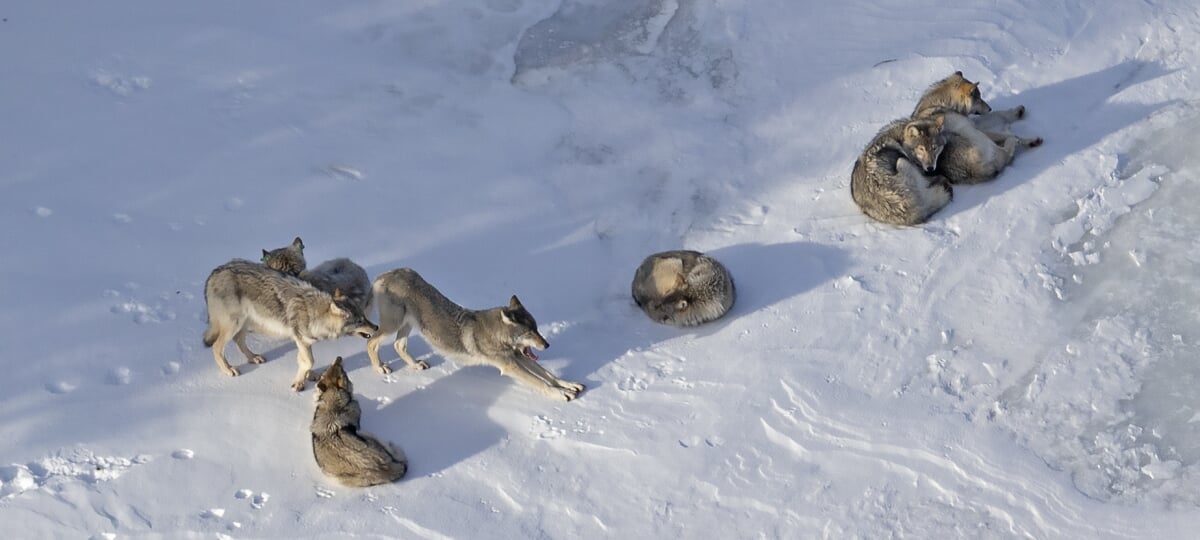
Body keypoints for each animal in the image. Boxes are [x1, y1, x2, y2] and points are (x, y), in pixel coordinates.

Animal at [203, 259, 378, 391]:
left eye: (364, 317)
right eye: (359, 321)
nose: (376, 327)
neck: (314, 313)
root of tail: (214, 273)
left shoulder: (304, 341)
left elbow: (305, 361)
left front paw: (308, 376)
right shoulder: (300, 339)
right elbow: (309, 361)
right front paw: (298, 384)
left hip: (246, 322)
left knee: (238, 340)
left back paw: (253, 357)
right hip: (235, 324)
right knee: (217, 347)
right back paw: (228, 369)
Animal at [311, 356, 408, 487]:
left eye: (335, 366)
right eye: (343, 370)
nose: (339, 357)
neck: (334, 406)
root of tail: (386, 468)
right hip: (368, 436)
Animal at [367, 268, 585, 401]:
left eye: (537, 329)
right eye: (529, 332)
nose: (547, 345)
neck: (498, 335)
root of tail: (383, 275)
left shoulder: (518, 357)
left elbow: (549, 375)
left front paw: (569, 385)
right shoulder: (510, 366)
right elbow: (541, 382)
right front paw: (561, 395)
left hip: (407, 325)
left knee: (399, 345)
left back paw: (415, 365)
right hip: (393, 326)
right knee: (372, 342)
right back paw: (379, 368)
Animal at [912, 71, 1042, 185]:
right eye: (979, 98)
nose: (989, 108)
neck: (940, 104)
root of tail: (975, 172)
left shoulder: (974, 124)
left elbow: (998, 114)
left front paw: (1016, 112)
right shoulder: (972, 127)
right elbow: (1003, 125)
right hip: (978, 136)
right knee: (1008, 150)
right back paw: (1027, 141)